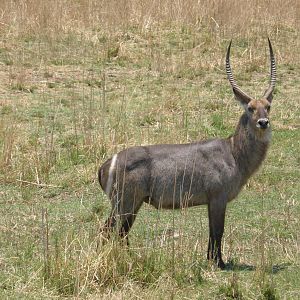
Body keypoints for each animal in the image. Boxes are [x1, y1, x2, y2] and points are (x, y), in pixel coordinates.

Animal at [98, 38, 276, 270]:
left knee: (120, 233)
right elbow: (218, 231)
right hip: (124, 202)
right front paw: (219, 263)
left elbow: (212, 233)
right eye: (250, 108)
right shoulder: (218, 198)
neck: (233, 153)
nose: (263, 122)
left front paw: (211, 260)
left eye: (268, 106)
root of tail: (106, 164)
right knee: (108, 230)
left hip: (131, 204)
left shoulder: (212, 201)